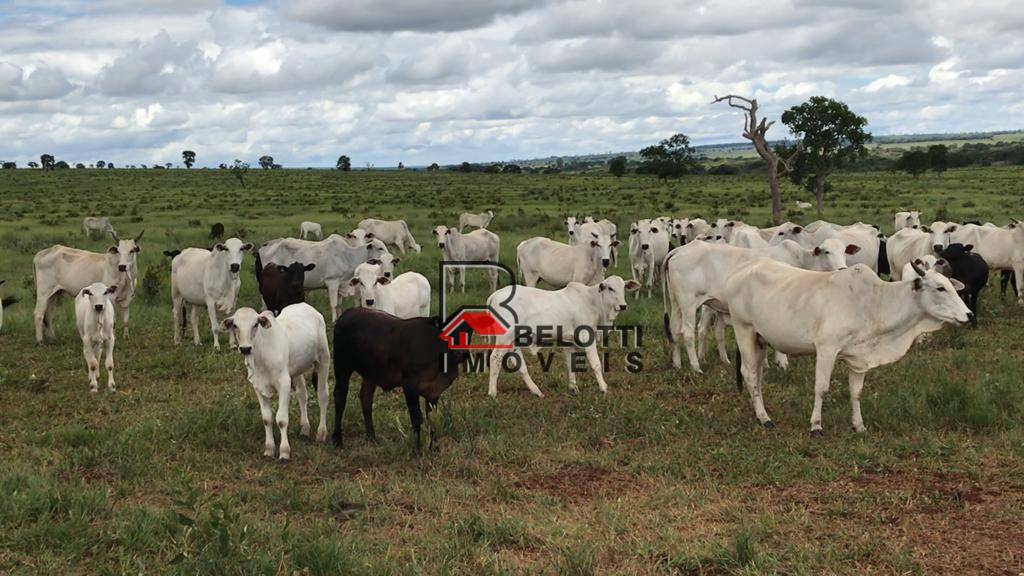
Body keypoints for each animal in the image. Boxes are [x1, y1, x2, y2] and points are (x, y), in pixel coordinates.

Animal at [222, 303, 329, 459]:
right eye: (235, 325)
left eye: (255, 324)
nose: (245, 348)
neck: (261, 356)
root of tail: (306, 306)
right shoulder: (258, 387)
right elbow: (267, 419)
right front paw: (269, 449)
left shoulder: (284, 383)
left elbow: (281, 419)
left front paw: (284, 452)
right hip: (297, 370)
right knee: (302, 395)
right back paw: (305, 428)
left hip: (323, 359)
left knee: (323, 396)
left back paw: (321, 433)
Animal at [258, 234, 389, 323]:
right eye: (380, 248)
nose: (389, 256)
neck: (347, 256)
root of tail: (265, 245)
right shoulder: (332, 282)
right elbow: (334, 304)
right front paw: (334, 320)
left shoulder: (341, 284)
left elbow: (339, 304)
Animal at [331, 305, 468, 448]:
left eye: (467, 331)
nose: (463, 353)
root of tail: (349, 312)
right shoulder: (409, 385)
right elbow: (417, 418)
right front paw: (418, 448)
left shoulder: (434, 392)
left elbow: (432, 419)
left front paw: (432, 447)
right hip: (342, 366)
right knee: (340, 397)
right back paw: (337, 439)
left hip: (371, 373)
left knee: (366, 399)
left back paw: (372, 437)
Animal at [481, 272, 638, 393]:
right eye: (610, 288)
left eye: (624, 288)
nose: (623, 305)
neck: (592, 301)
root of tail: (495, 295)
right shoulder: (587, 337)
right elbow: (596, 364)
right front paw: (604, 388)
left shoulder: (568, 341)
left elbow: (571, 364)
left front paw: (574, 388)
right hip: (504, 338)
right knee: (495, 358)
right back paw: (493, 393)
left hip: (513, 340)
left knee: (517, 361)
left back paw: (536, 390)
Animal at [724, 259, 970, 430]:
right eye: (940, 288)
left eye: (951, 286)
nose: (969, 314)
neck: (874, 302)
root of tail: (743, 271)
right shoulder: (826, 349)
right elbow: (821, 388)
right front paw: (816, 425)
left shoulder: (858, 359)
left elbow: (856, 393)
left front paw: (859, 425)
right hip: (743, 330)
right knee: (749, 374)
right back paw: (765, 418)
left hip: (760, 339)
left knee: (757, 376)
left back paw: (760, 412)